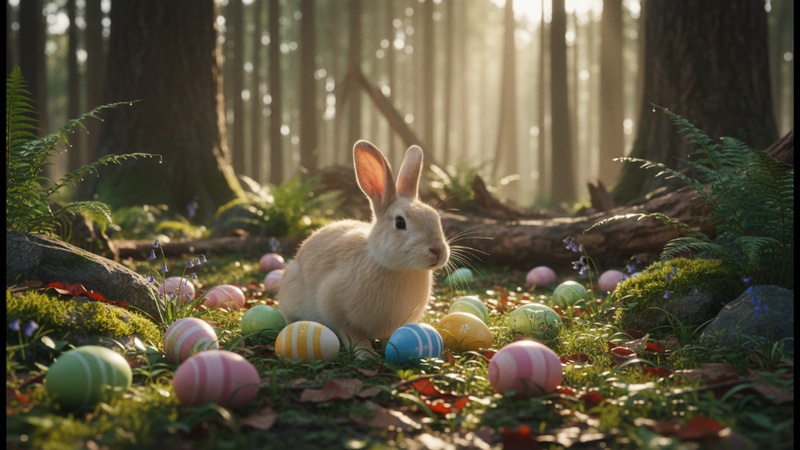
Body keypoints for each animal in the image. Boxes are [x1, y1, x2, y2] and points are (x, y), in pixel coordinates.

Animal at [277, 140, 450, 358]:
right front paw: (365, 353)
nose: (437, 250)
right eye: (400, 222)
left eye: (435, 217)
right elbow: (350, 332)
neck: (398, 268)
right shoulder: (334, 307)